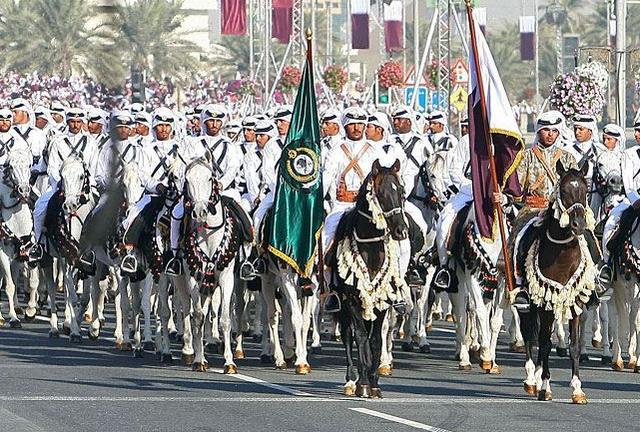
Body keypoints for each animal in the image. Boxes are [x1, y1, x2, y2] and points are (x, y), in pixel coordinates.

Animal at [516, 160, 596, 404]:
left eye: (585, 191)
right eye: (565, 191)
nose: (578, 225)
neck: (562, 253)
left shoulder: (575, 302)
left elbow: (574, 346)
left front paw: (577, 390)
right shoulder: (545, 303)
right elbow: (544, 343)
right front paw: (545, 387)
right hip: (530, 303)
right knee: (531, 335)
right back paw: (531, 379)